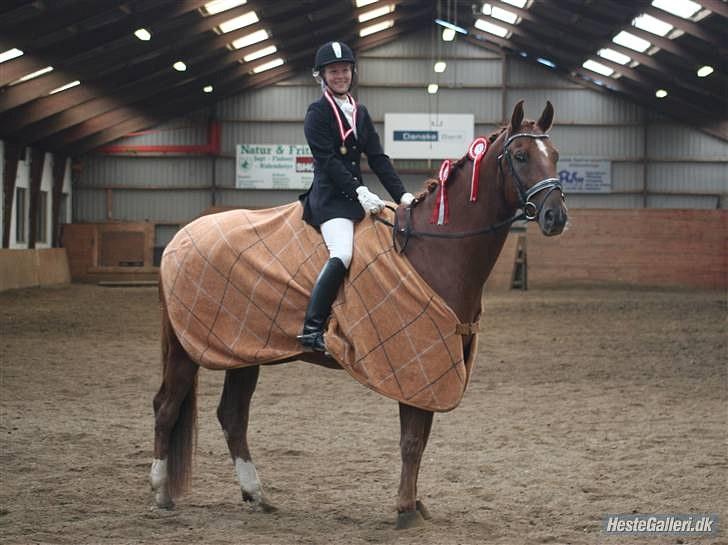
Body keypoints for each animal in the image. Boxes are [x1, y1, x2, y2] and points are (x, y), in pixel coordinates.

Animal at [149, 101, 568, 528]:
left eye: (554, 155)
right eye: (521, 156)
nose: (556, 216)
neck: (433, 248)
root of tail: (180, 238)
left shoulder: (434, 368)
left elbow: (421, 437)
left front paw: (414, 504)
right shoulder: (415, 363)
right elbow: (412, 440)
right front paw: (405, 510)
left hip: (244, 349)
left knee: (232, 416)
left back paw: (257, 496)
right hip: (186, 349)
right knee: (166, 407)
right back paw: (161, 493)